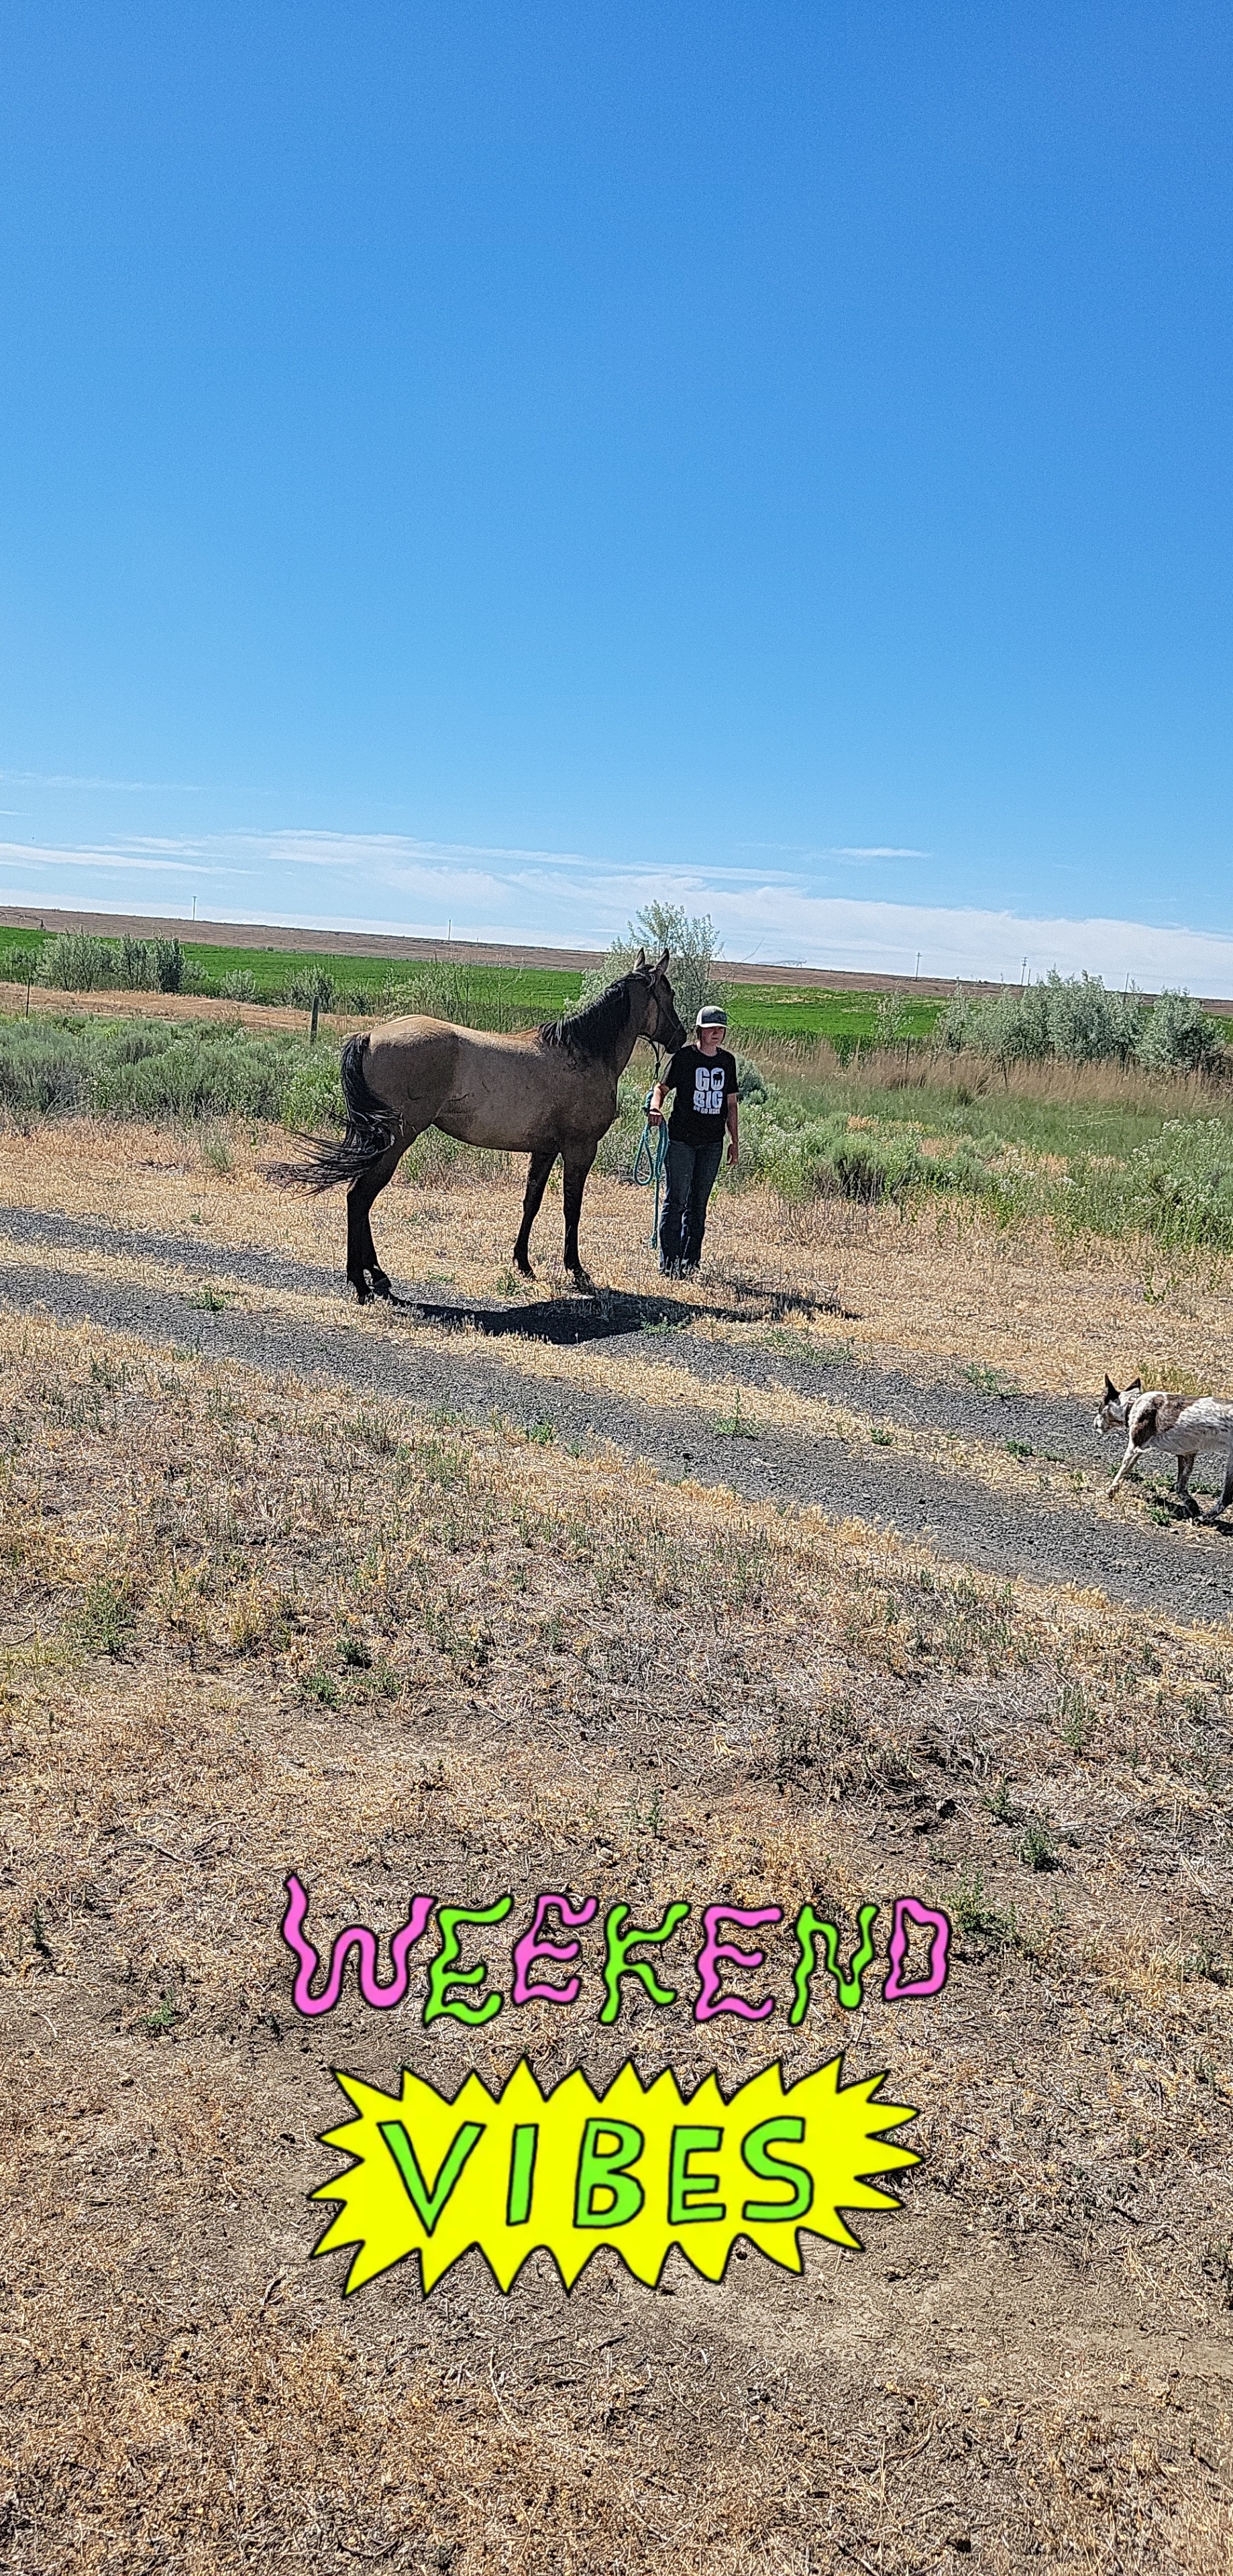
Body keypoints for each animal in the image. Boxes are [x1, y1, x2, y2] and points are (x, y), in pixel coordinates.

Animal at [299, 949, 686, 1301]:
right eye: (668, 993)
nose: (681, 1038)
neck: (584, 1053)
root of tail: (369, 1036)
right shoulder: (580, 1150)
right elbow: (571, 1208)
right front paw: (576, 1269)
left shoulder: (544, 1150)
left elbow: (532, 1202)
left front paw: (523, 1264)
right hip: (394, 1142)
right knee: (360, 1197)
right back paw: (363, 1282)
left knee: (360, 1196)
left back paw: (376, 1276)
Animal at [1096, 1375, 1233, 1521]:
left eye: (1100, 1408)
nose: (1094, 1424)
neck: (1132, 1404)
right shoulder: (1187, 1455)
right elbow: (1180, 1488)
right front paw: (1192, 1505)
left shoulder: (1135, 1448)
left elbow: (1121, 1473)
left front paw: (1110, 1491)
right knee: (1227, 1497)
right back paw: (1206, 1517)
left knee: (1226, 1497)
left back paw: (1206, 1518)